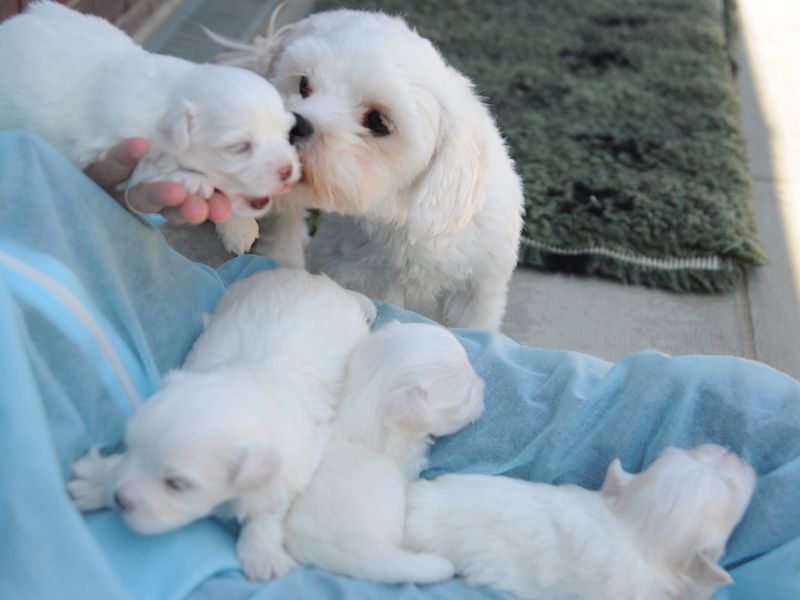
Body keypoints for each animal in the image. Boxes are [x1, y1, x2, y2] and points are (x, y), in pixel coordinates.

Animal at [0, 0, 300, 253]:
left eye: (286, 133)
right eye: (239, 147)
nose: (288, 171)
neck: (170, 98)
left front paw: (238, 227)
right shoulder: (104, 144)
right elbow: (152, 167)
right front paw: (193, 181)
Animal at [66, 270, 376, 580]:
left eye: (177, 484)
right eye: (129, 448)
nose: (119, 499)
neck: (251, 378)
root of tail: (317, 278)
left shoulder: (294, 465)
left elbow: (267, 510)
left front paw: (263, 554)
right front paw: (97, 481)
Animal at [212, 8, 524, 328]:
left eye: (378, 121)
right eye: (303, 85)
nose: (293, 125)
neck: (401, 219)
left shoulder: (478, 289)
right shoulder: (347, 271)